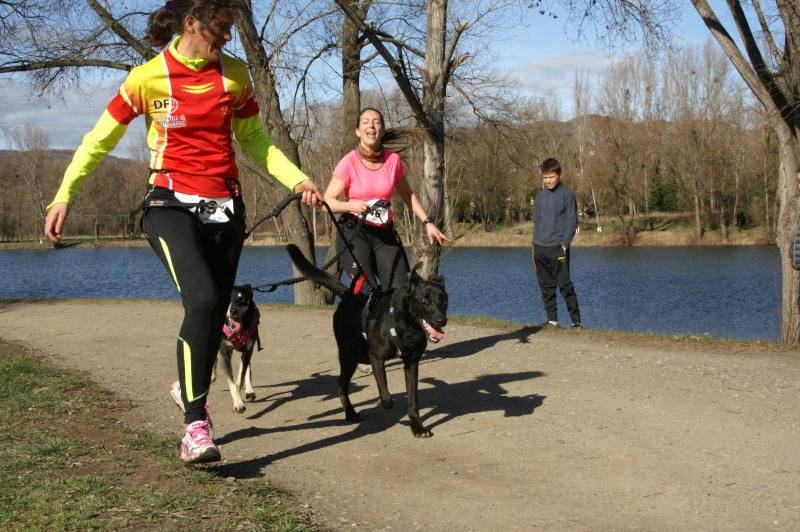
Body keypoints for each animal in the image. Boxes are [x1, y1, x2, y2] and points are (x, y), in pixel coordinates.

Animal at [212, 284, 262, 414]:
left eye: (242, 298)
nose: (233, 311)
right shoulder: (225, 352)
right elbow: (232, 381)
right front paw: (238, 403)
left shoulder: (247, 350)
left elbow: (239, 380)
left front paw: (238, 399)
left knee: (248, 368)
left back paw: (250, 390)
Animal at [288, 243, 450, 438]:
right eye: (423, 300)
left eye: (443, 299)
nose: (441, 320)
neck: (407, 327)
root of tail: (348, 296)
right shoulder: (376, 358)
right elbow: (386, 396)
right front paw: (381, 403)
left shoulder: (411, 363)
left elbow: (413, 401)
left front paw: (417, 427)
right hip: (351, 355)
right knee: (340, 383)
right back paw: (350, 413)